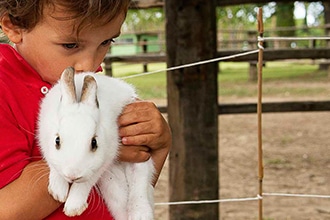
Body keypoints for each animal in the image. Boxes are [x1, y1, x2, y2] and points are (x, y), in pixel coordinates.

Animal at [37, 67, 155, 220]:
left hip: (141, 164)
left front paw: (73, 208)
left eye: (94, 143)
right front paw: (58, 192)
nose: (73, 175)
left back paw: (140, 214)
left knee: (140, 185)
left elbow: (86, 182)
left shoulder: (103, 162)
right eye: (57, 141)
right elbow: (54, 165)